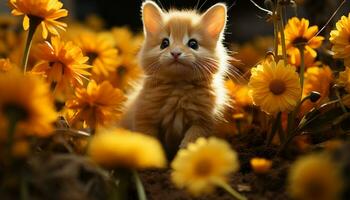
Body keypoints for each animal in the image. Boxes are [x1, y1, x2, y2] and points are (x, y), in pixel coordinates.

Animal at [121, 0, 231, 158]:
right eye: (164, 43)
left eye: (193, 44)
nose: (175, 53)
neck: (179, 87)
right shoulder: (144, 117)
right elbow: (149, 140)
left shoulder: (203, 123)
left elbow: (192, 141)